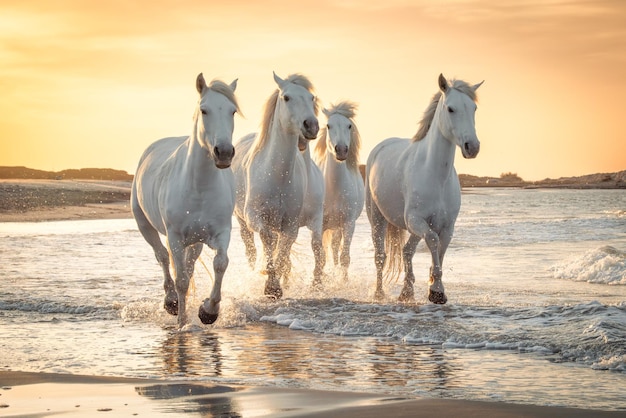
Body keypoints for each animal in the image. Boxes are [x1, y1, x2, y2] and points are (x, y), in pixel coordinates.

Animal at [130, 73, 240, 326]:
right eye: (204, 110)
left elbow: (221, 263)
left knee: (188, 267)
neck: (199, 187)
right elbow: (180, 279)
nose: (224, 152)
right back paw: (171, 302)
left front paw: (208, 311)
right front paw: (182, 323)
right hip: (145, 226)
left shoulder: (221, 232)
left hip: (196, 241)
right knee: (162, 257)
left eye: (233, 111)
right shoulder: (175, 238)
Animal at [230, 73, 320, 298]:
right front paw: (270, 283)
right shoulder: (254, 216)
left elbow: (283, 248)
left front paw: (275, 284)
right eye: (286, 97)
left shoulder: (290, 223)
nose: (311, 126)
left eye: (311, 98)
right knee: (251, 249)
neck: (277, 176)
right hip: (242, 221)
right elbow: (267, 238)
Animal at [314, 101, 364, 280]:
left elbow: (345, 257)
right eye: (329, 126)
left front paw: (343, 281)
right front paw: (318, 281)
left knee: (336, 247)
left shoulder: (349, 224)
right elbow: (320, 256)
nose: (341, 150)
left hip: (338, 226)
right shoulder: (320, 224)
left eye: (349, 126)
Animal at [366, 74, 482, 304]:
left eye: (474, 108)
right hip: (377, 218)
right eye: (451, 109)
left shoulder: (446, 226)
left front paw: (437, 289)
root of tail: (380, 146)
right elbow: (433, 241)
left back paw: (406, 292)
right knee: (381, 256)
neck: (436, 177)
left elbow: (440, 248)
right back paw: (379, 293)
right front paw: (435, 292)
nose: (472, 147)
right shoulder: (417, 220)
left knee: (406, 250)